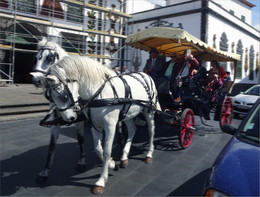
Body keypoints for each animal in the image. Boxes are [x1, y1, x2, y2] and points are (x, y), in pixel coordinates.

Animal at [45, 55, 161, 194]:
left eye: (64, 96)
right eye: (50, 96)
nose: (70, 118)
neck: (99, 93)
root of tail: (146, 75)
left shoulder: (110, 126)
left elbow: (106, 151)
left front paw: (101, 181)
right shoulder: (95, 125)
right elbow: (98, 148)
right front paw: (112, 164)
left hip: (149, 111)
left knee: (151, 130)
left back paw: (149, 154)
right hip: (128, 114)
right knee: (132, 130)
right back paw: (124, 157)